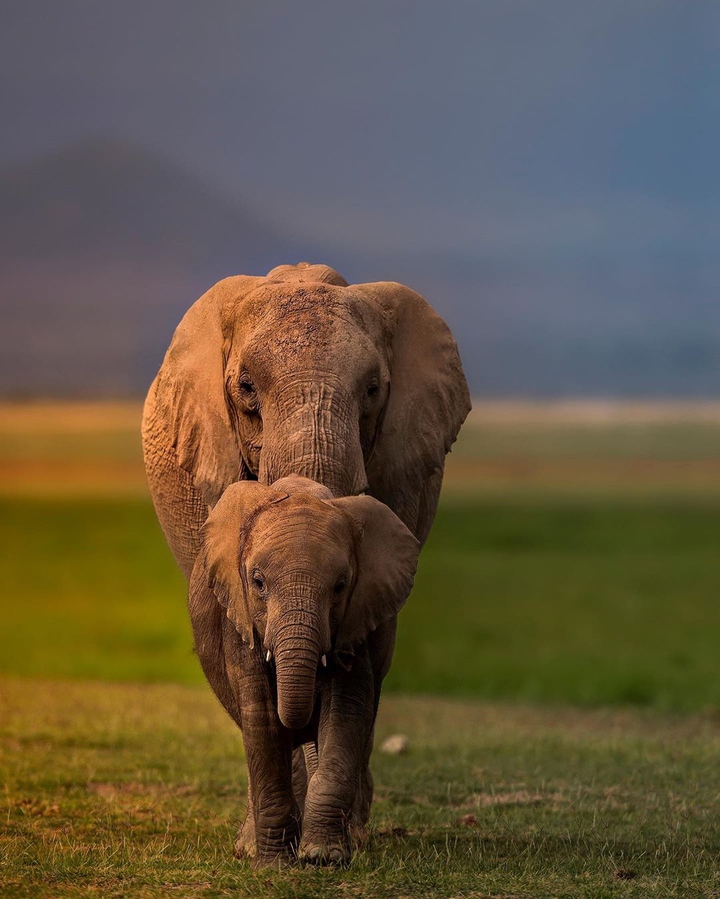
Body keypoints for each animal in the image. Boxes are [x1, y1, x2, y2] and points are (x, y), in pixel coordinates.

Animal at [191, 474, 420, 865]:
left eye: (340, 586)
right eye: (258, 582)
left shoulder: (358, 618)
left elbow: (344, 712)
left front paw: (322, 856)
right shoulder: (238, 618)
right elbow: (262, 718)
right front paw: (274, 862)